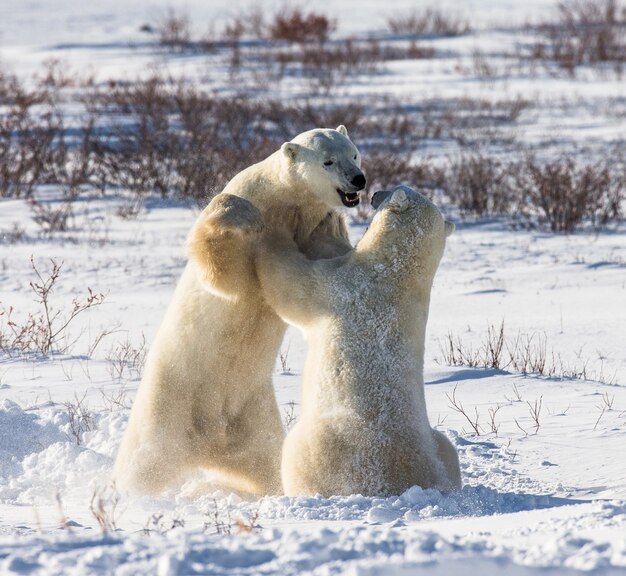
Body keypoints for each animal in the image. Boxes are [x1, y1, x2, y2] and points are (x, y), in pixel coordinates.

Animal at [114, 126, 364, 496]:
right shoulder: (253, 201)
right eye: (328, 161)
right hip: (168, 407)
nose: (358, 180)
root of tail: (205, 447)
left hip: (252, 416)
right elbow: (225, 273)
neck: (284, 203)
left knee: (267, 461)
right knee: (140, 465)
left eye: (354, 153)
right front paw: (246, 217)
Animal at [256, 187, 460, 498]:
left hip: (326, 443)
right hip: (438, 447)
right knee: (447, 448)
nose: (374, 192)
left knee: (298, 451)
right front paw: (329, 223)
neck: (397, 271)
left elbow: (291, 284)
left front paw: (273, 230)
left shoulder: (341, 288)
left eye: (394, 188)